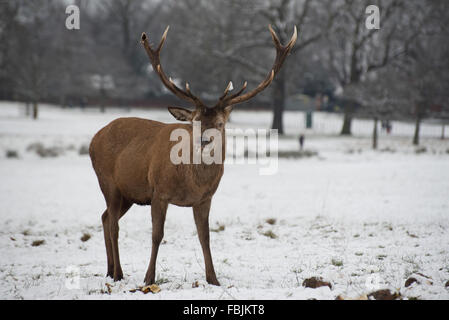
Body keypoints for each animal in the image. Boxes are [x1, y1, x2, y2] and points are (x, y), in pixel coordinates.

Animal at [89, 23, 296, 286]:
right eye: (195, 121)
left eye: (219, 123)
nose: (204, 140)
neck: (190, 181)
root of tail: (94, 138)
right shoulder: (158, 191)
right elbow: (157, 235)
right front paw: (149, 278)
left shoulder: (205, 198)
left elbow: (204, 236)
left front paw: (213, 279)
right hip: (108, 182)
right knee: (114, 224)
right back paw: (118, 273)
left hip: (129, 193)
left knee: (105, 217)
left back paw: (109, 270)